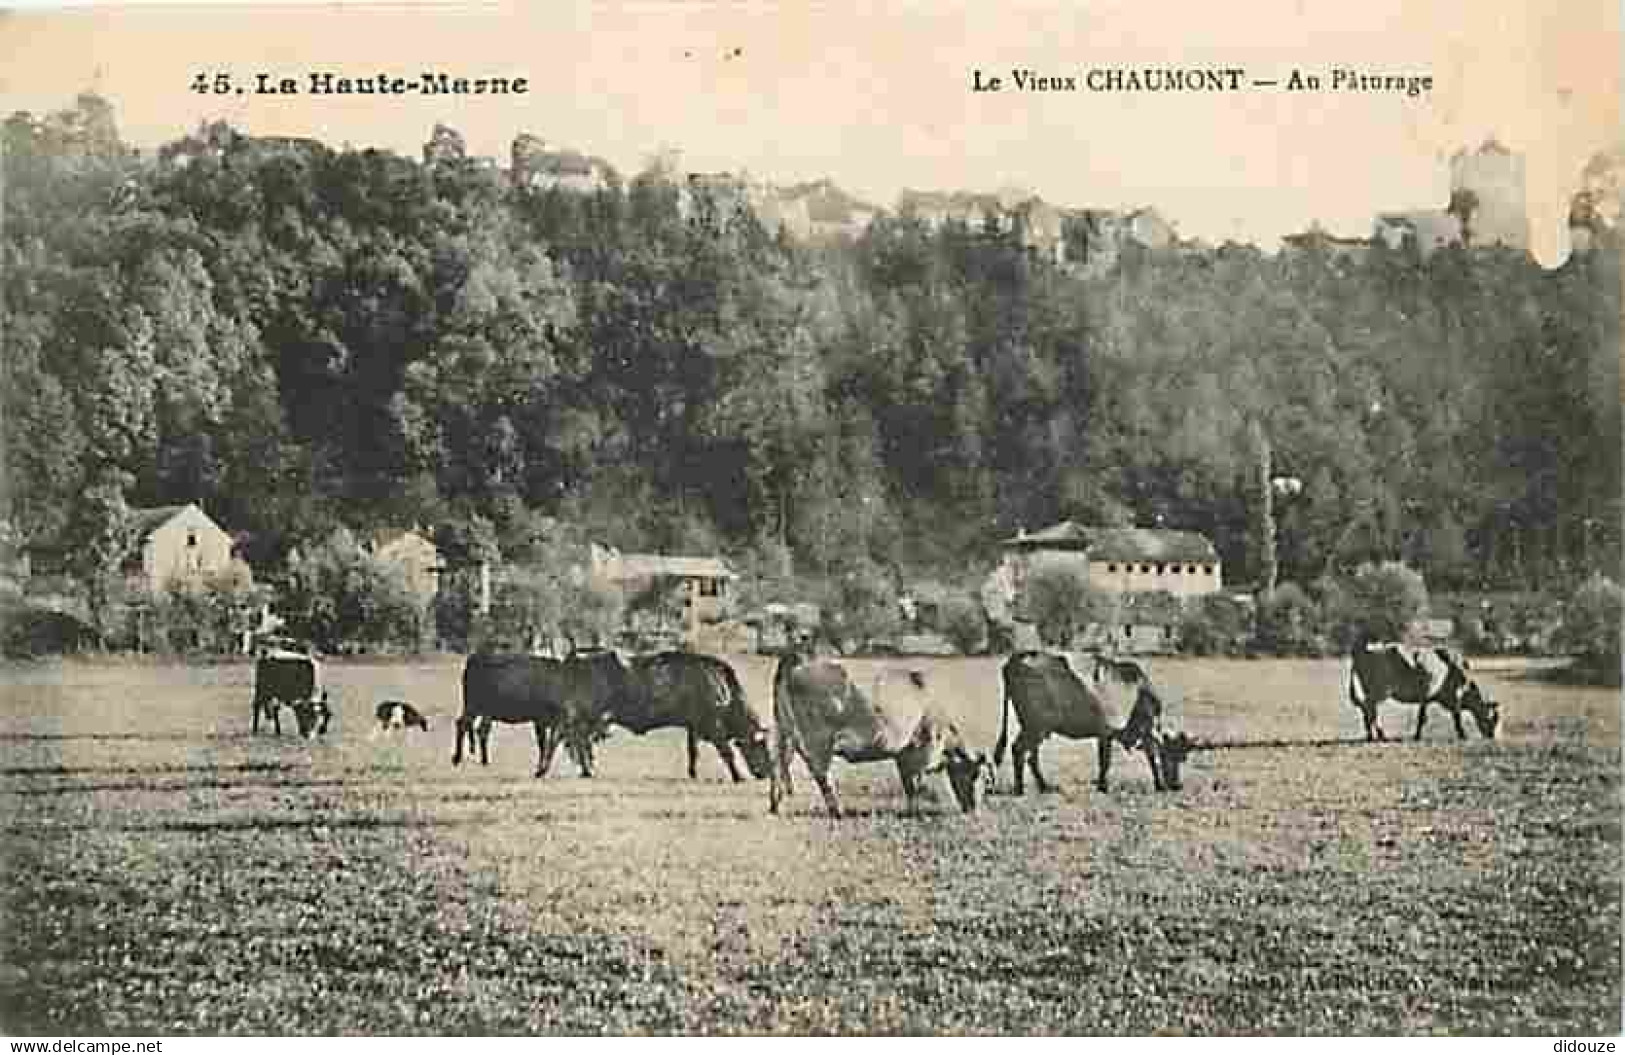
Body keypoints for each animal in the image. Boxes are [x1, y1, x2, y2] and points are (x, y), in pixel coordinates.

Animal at [763, 650, 981, 816]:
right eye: (978, 775)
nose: (974, 809)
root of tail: (798, 660)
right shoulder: (923, 748)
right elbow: (917, 780)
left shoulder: (904, 754)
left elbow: (909, 783)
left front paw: (913, 808)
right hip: (818, 740)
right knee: (821, 774)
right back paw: (837, 810)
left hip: (785, 733)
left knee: (779, 765)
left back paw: (776, 806)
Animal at [981, 646, 1189, 793]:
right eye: (1171, 755)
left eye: (1183, 757)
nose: (1178, 785)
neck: (1140, 691)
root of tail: (1017, 658)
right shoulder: (1110, 731)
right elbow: (1109, 761)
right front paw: (1104, 787)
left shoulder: (1109, 734)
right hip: (1036, 726)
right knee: (1019, 750)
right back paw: (1019, 789)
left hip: (1036, 728)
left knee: (1031, 756)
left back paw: (1044, 786)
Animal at [1345, 633, 1495, 741]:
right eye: (1492, 718)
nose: (1491, 735)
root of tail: (1364, 649)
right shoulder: (1449, 697)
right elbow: (1453, 716)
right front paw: (1462, 735)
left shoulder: (1428, 697)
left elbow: (1423, 716)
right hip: (1380, 690)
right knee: (1369, 708)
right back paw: (1379, 735)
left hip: (1372, 691)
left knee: (1368, 709)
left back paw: (1372, 735)